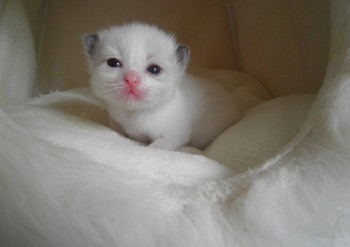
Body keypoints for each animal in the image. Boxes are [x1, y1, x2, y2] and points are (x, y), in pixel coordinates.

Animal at [82, 23, 241, 151]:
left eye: (154, 69)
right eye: (113, 63)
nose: (131, 79)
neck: (136, 114)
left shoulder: (175, 136)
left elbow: (154, 148)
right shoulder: (115, 119)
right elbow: (116, 128)